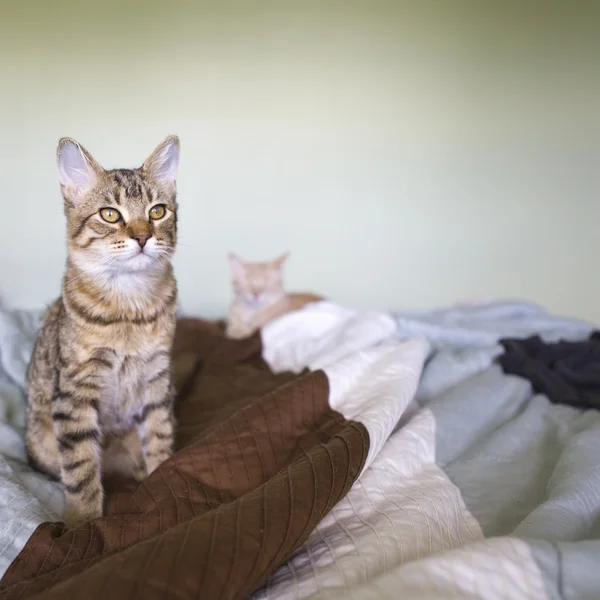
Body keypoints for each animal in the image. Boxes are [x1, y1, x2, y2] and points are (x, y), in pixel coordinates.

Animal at [26, 135, 180, 524]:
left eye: (157, 211)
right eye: (110, 214)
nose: (142, 237)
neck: (129, 308)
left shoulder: (157, 376)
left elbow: (160, 436)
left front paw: (164, 479)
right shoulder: (75, 389)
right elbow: (80, 468)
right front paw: (83, 522)